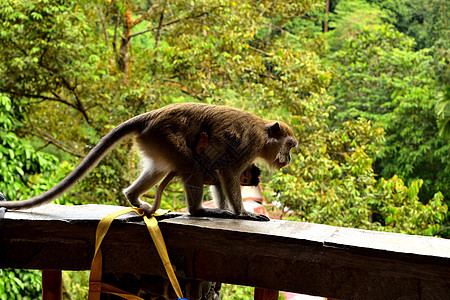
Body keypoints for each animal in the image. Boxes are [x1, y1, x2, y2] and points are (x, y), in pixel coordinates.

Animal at [0, 102, 298, 220]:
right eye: (290, 145)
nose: (289, 158)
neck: (263, 134)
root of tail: (152, 115)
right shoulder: (250, 145)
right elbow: (228, 171)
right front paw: (242, 213)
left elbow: (217, 172)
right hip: (164, 136)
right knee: (190, 167)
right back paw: (198, 210)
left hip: (154, 141)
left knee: (161, 168)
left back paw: (134, 198)